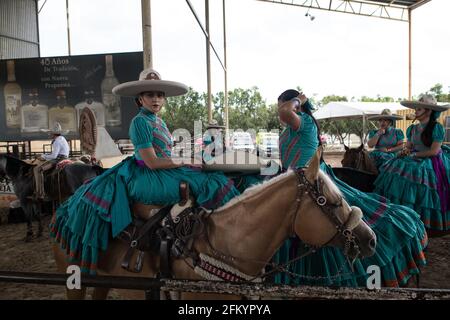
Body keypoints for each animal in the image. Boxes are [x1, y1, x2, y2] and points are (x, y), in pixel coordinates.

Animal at [51, 149, 376, 300]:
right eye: (330, 201)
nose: (369, 238)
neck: (226, 245)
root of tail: (63, 209)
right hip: (74, 282)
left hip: (101, 281)